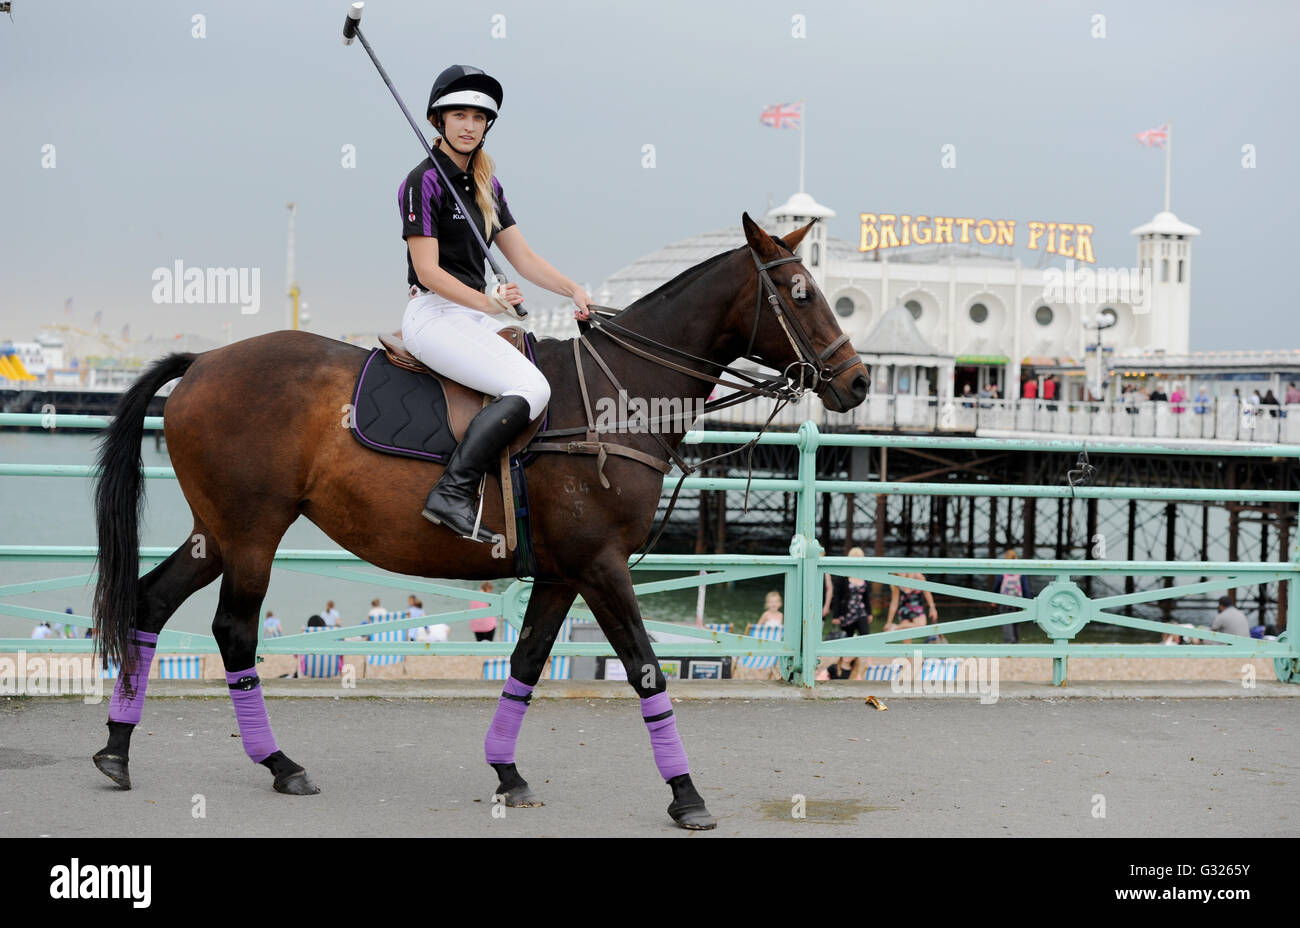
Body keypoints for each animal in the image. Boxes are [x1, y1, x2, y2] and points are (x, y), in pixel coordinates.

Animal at [89, 213, 863, 826]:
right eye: (801, 292)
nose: (856, 381)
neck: (615, 395)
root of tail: (205, 361)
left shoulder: (561, 574)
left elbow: (524, 663)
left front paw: (507, 773)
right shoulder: (601, 566)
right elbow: (646, 670)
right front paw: (686, 794)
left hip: (216, 534)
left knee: (152, 601)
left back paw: (117, 751)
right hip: (253, 533)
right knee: (234, 631)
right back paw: (278, 762)